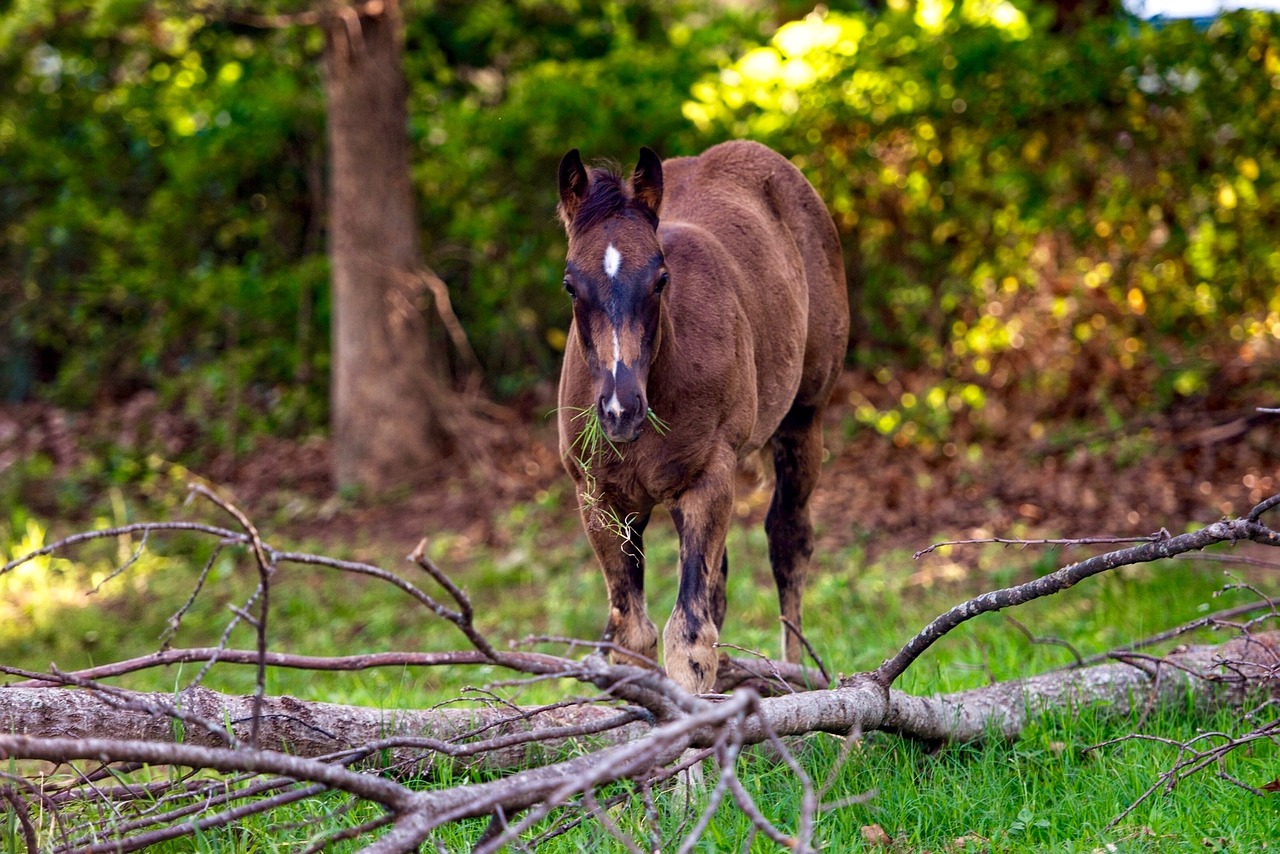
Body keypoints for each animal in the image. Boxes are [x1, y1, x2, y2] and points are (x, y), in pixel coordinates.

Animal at [552, 142, 844, 696]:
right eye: (570, 285)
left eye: (661, 279)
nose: (620, 410)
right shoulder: (599, 498)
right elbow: (633, 633)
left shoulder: (708, 478)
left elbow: (688, 637)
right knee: (721, 580)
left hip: (803, 419)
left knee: (788, 543)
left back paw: (795, 679)